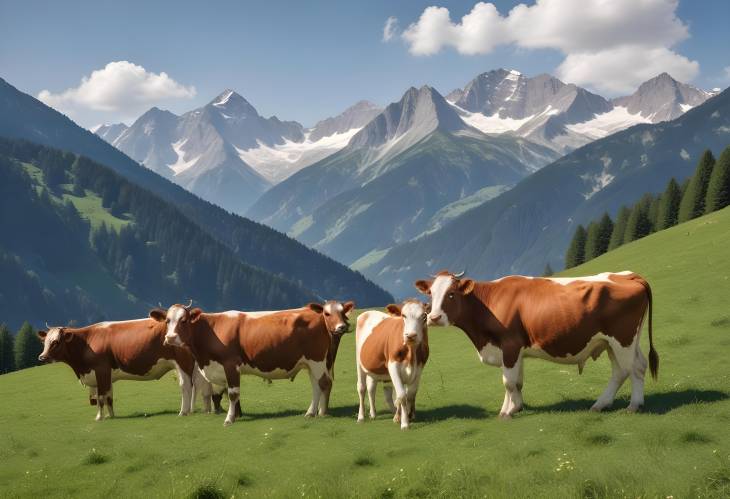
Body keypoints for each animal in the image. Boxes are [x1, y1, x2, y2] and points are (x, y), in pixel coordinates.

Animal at [37, 318, 213, 420]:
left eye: (56, 342)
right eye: (45, 342)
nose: (42, 357)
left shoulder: (101, 371)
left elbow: (100, 397)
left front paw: (99, 418)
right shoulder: (104, 375)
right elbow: (109, 396)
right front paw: (112, 415)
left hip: (182, 363)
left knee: (186, 386)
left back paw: (183, 411)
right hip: (192, 365)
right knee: (198, 386)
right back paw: (196, 410)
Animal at [149, 300, 354, 426]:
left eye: (183, 320)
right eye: (167, 320)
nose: (170, 338)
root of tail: (317, 313)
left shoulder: (231, 363)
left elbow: (233, 393)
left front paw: (229, 419)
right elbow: (231, 394)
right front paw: (236, 415)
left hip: (317, 360)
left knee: (323, 383)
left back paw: (318, 412)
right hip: (312, 363)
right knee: (317, 385)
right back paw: (313, 412)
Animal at [356, 300, 430, 430]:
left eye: (424, 316)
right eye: (403, 316)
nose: (411, 335)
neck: (411, 353)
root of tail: (368, 312)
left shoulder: (419, 368)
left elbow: (410, 394)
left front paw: (405, 416)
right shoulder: (393, 366)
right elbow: (401, 395)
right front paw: (404, 423)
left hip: (375, 369)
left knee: (373, 388)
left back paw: (374, 413)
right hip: (359, 363)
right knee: (361, 388)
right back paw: (361, 417)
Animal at [412, 270, 656, 418]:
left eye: (452, 294)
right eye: (431, 294)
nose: (433, 318)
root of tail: (629, 276)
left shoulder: (510, 345)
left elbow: (508, 383)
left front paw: (509, 412)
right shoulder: (513, 351)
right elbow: (516, 383)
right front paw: (511, 407)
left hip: (622, 339)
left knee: (630, 369)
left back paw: (630, 405)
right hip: (614, 342)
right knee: (629, 368)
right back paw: (608, 404)